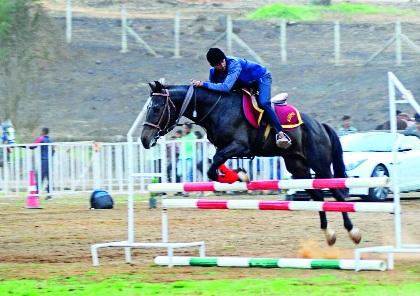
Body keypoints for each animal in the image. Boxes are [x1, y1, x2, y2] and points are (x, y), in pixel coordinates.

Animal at [141, 81, 360, 245]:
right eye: (148, 108)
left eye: (157, 108)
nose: (144, 139)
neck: (217, 108)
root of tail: (319, 125)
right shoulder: (224, 147)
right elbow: (215, 164)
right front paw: (237, 175)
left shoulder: (240, 146)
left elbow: (215, 163)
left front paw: (238, 176)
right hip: (298, 167)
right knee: (318, 197)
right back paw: (328, 233)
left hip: (320, 165)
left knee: (337, 193)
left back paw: (353, 231)